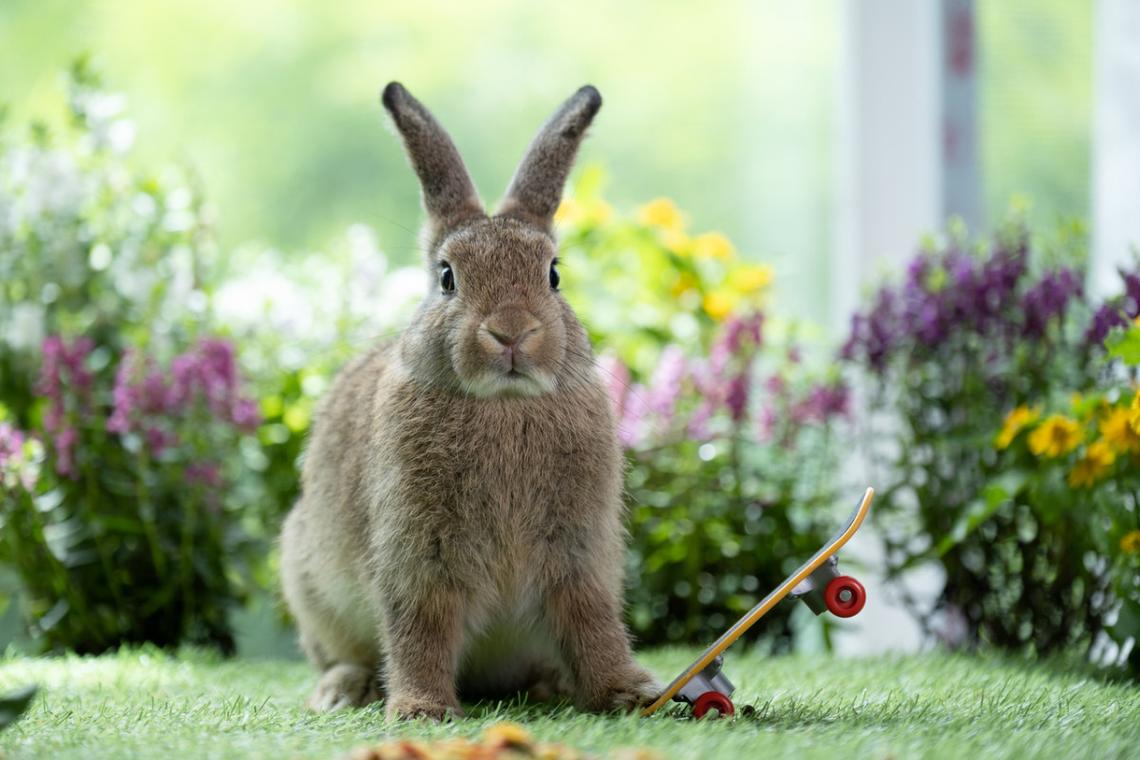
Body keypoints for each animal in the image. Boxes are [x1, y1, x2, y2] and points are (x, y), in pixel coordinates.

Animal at [279, 81, 661, 721]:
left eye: (553, 274)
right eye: (447, 277)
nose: (511, 331)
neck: (504, 405)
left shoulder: (578, 553)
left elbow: (592, 622)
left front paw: (628, 692)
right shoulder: (418, 553)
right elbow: (421, 628)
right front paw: (421, 709)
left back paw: (551, 686)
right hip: (309, 584)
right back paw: (343, 689)